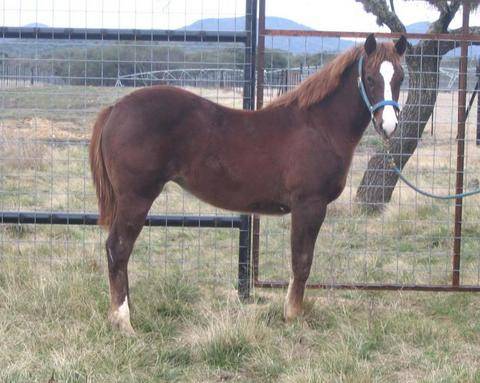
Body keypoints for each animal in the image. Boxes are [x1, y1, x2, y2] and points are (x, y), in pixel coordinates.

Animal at [89, 34, 404, 334]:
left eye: (400, 77)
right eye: (370, 78)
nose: (388, 125)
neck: (319, 127)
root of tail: (116, 108)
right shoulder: (309, 205)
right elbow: (302, 262)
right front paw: (293, 316)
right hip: (136, 198)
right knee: (118, 249)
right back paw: (124, 322)